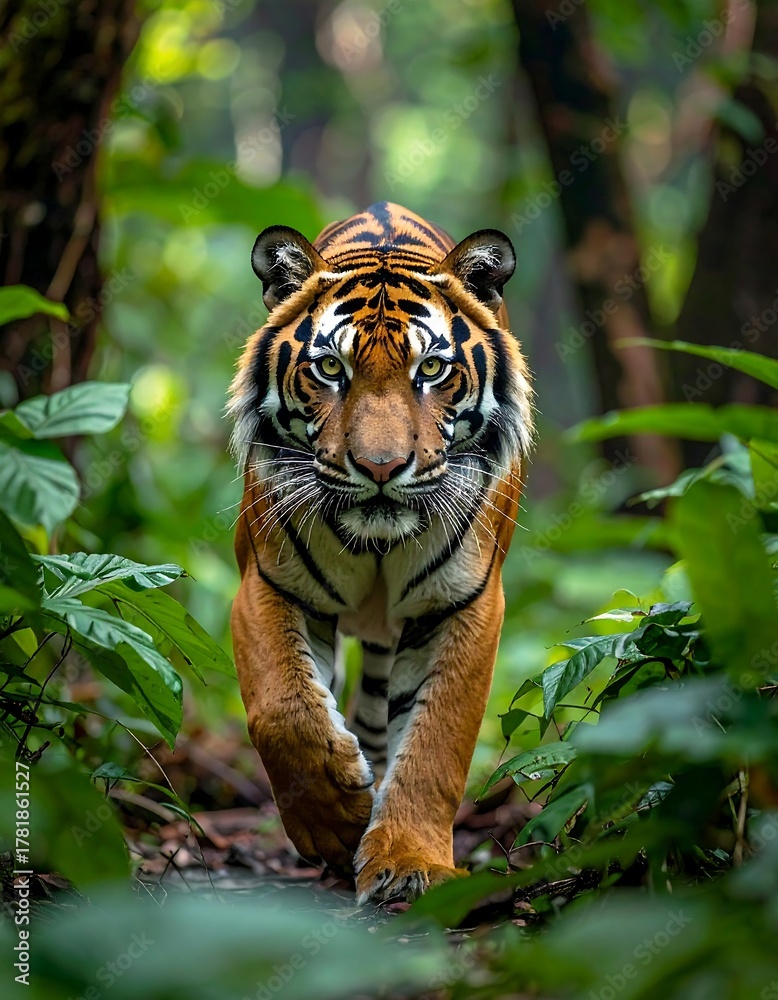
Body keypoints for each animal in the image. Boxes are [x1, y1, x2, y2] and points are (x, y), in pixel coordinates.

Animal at [229, 201, 533, 903]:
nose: (381, 467)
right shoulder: (269, 584)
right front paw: (338, 820)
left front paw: (407, 862)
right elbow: (283, 709)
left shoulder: (463, 605)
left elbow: (435, 743)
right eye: (330, 370)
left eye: (432, 370)